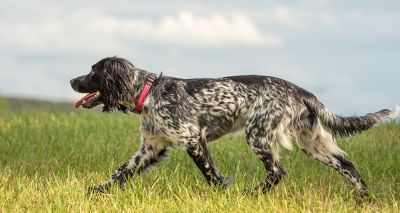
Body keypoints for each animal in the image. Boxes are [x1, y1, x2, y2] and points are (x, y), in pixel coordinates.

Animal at [70, 56, 398, 196]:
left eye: (93, 71)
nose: (72, 80)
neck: (149, 92)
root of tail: (301, 91)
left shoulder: (193, 139)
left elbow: (211, 175)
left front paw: (223, 193)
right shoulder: (151, 148)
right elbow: (120, 173)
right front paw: (96, 191)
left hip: (258, 135)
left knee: (277, 171)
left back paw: (251, 194)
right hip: (313, 143)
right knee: (349, 166)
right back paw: (364, 199)